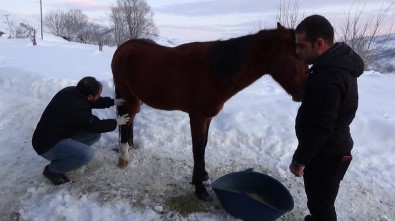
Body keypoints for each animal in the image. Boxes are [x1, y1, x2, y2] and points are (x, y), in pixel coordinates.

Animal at [111, 22, 310, 200]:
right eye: (297, 55)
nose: (304, 92)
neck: (212, 71)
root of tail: (123, 48)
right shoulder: (197, 117)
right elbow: (198, 149)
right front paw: (200, 189)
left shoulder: (208, 118)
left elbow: (204, 146)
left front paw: (203, 176)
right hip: (128, 99)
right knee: (125, 120)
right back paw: (124, 157)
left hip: (136, 99)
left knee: (129, 120)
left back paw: (130, 147)